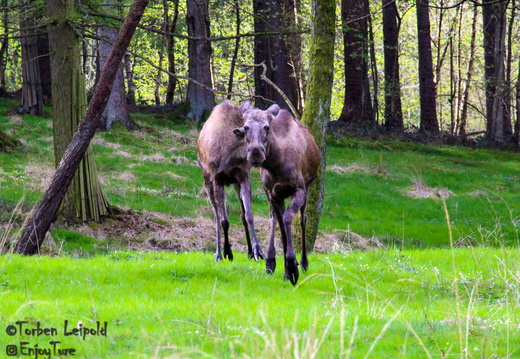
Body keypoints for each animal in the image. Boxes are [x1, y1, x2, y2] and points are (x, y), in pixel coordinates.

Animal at [198, 100, 266, 262]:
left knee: (241, 214)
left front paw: (257, 251)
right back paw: (218, 252)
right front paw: (226, 252)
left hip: (235, 184)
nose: (257, 154)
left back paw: (249, 251)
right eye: (246, 129)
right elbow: (224, 220)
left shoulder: (243, 177)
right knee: (216, 215)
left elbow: (249, 215)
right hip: (207, 180)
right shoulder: (217, 178)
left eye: (266, 128)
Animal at [235, 100, 318, 284]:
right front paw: (285, 269)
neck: (276, 164)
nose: (256, 152)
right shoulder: (273, 193)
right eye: (246, 127)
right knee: (275, 218)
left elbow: (288, 219)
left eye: (266, 127)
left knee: (303, 219)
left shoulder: (299, 189)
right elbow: (280, 224)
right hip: (272, 195)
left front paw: (293, 265)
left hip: (308, 187)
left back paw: (304, 262)